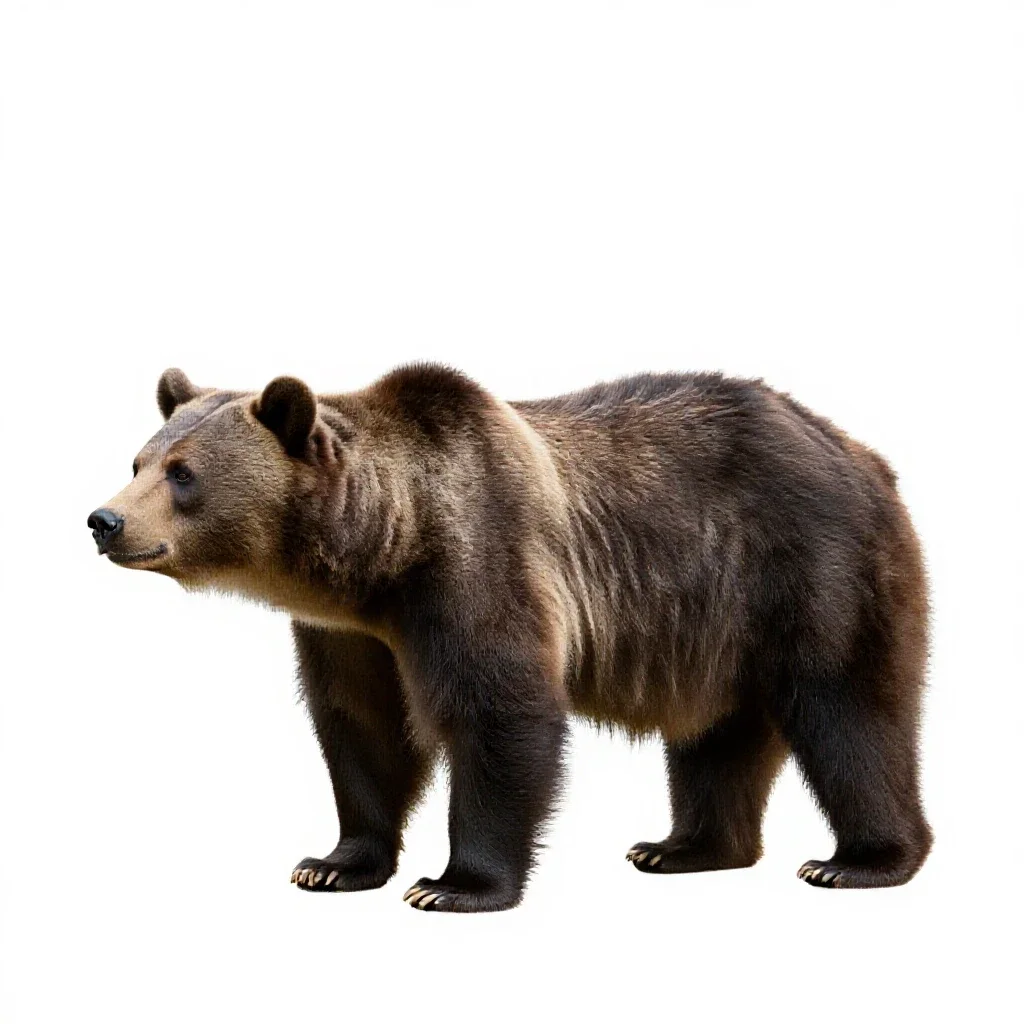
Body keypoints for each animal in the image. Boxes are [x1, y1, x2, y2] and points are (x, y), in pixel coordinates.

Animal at [87, 365, 932, 912]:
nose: (105, 519)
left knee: (850, 712)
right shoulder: (349, 634)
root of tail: (860, 451)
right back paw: (681, 847)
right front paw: (332, 864)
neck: (381, 554)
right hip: (714, 629)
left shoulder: (477, 562)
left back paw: (859, 862)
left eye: (184, 473)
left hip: (812, 566)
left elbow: (499, 712)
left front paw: (453, 885)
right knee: (717, 736)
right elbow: (361, 729)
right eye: (139, 459)